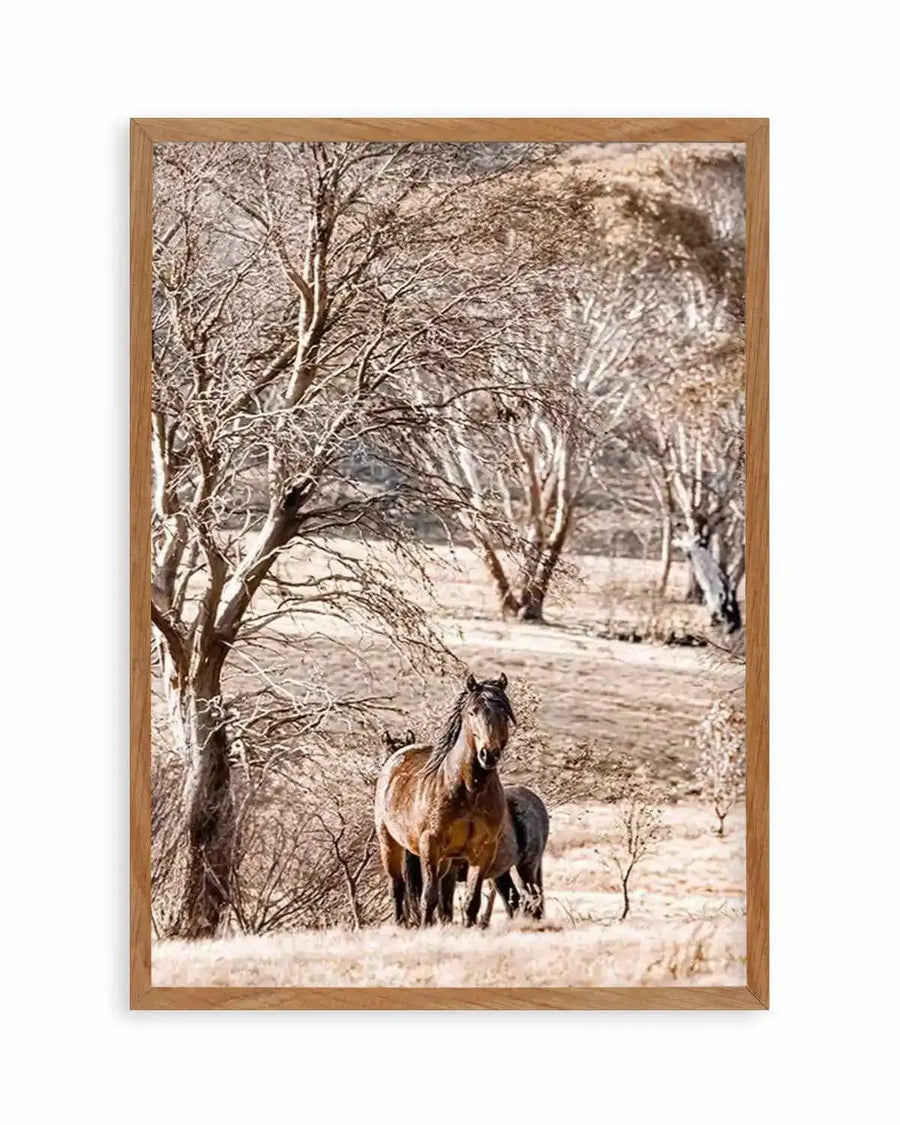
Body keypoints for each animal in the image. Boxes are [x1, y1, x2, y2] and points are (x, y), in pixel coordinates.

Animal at [374, 673, 515, 927]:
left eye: (504, 713)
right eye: (472, 712)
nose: (488, 754)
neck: (469, 789)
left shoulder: (483, 851)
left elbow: (470, 901)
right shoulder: (430, 845)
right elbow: (428, 897)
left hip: (447, 860)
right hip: (389, 843)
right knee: (397, 886)